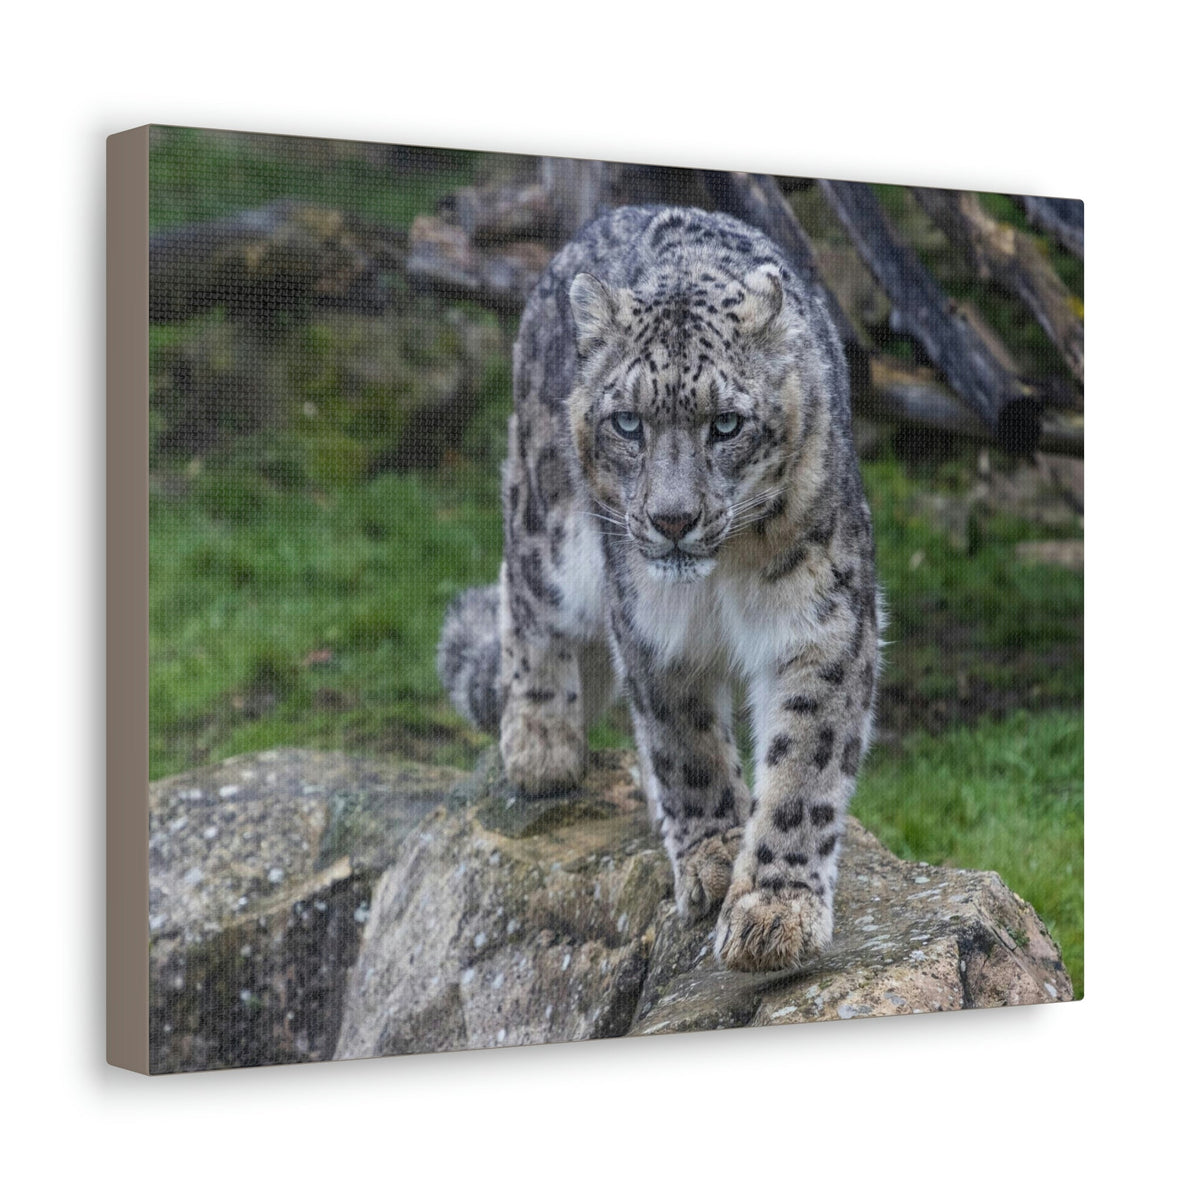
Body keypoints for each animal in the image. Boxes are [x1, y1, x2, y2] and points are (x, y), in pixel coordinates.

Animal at [438, 205, 880, 972]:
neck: (721, 579)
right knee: (523, 594)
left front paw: (774, 910)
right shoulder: (650, 627)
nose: (673, 519)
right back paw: (540, 743)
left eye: (726, 424)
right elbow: (685, 745)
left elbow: (803, 767)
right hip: (550, 529)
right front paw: (714, 856)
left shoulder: (823, 624)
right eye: (628, 422)